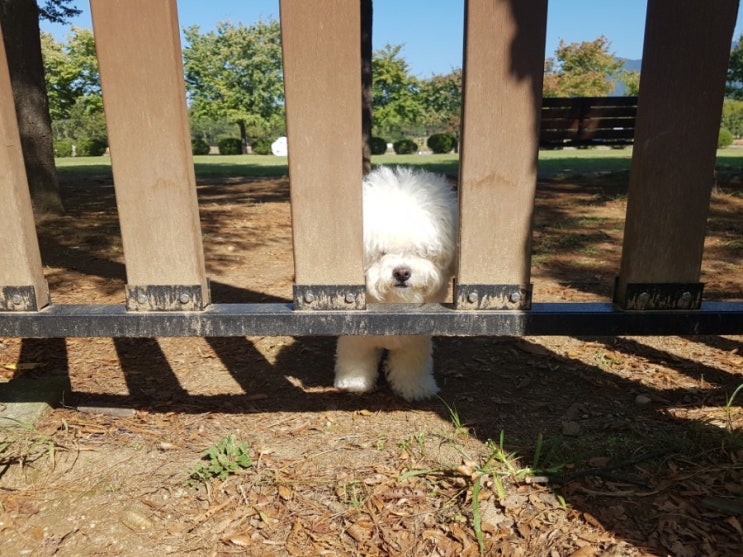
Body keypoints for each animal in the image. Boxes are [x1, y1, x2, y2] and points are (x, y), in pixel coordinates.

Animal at [332, 165, 460, 400]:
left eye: (421, 251)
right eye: (382, 252)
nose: (402, 272)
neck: (393, 306)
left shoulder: (415, 340)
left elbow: (411, 364)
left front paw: (415, 387)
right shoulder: (355, 336)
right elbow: (355, 358)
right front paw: (354, 383)